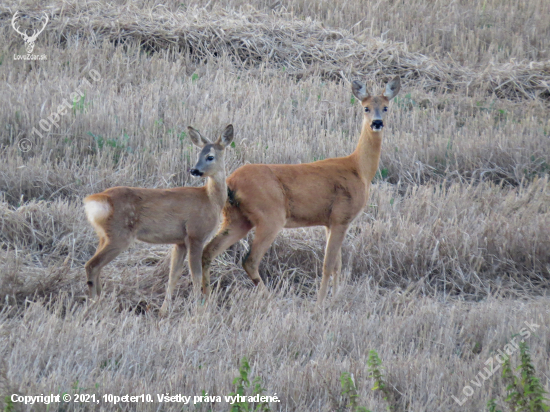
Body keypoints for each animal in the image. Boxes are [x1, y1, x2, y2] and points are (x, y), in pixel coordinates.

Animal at [84, 124, 235, 314]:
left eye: (210, 156)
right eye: (199, 154)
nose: (194, 170)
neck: (210, 200)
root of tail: (95, 200)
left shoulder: (180, 241)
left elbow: (173, 275)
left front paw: (163, 310)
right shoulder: (196, 234)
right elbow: (196, 274)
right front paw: (198, 308)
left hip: (104, 235)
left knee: (96, 266)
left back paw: (101, 301)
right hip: (120, 235)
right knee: (92, 265)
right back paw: (95, 304)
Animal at [202, 77, 402, 302]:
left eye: (385, 107)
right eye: (366, 107)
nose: (377, 123)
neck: (359, 169)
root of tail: (231, 182)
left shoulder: (330, 222)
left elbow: (337, 265)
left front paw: (335, 297)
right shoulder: (341, 217)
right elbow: (328, 264)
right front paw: (321, 302)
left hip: (237, 218)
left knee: (208, 251)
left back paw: (205, 295)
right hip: (270, 216)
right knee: (249, 260)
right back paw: (270, 298)